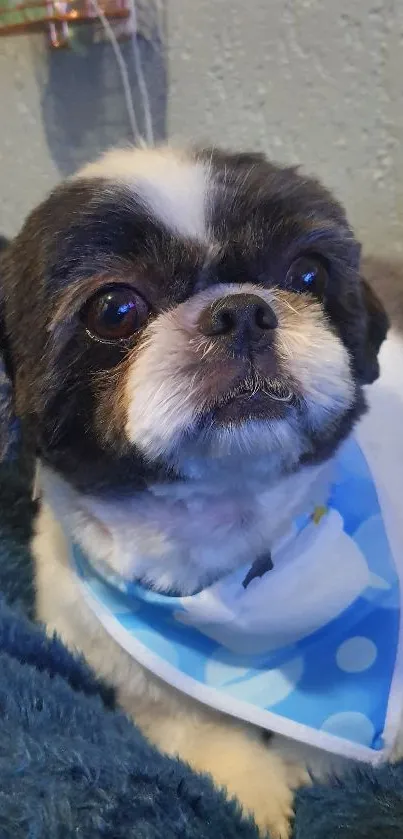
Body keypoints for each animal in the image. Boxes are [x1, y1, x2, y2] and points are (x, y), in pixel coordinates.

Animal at [0, 148, 392, 836]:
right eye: (115, 310)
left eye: (309, 274)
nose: (241, 310)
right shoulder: (129, 675)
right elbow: (198, 733)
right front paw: (254, 795)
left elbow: (333, 749)